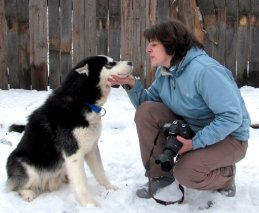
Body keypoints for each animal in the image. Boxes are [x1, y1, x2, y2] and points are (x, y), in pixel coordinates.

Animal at [6, 55, 134, 206]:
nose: (130, 62)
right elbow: (81, 183)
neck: (81, 100)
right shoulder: (73, 152)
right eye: (109, 64)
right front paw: (89, 204)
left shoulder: (92, 147)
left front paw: (110, 188)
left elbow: (100, 173)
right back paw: (27, 193)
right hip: (26, 165)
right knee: (14, 186)